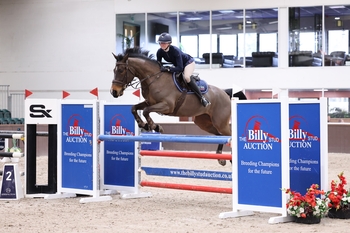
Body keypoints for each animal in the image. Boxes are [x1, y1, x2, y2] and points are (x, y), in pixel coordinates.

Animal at [111, 46, 246, 166]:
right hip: (204, 122)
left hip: (220, 122)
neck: (154, 78)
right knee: (220, 136)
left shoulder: (167, 106)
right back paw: (221, 158)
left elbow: (146, 111)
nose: (114, 92)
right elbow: (134, 108)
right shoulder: (150, 102)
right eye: (114, 71)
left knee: (228, 135)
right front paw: (144, 124)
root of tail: (224, 93)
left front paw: (155, 127)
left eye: (121, 70)